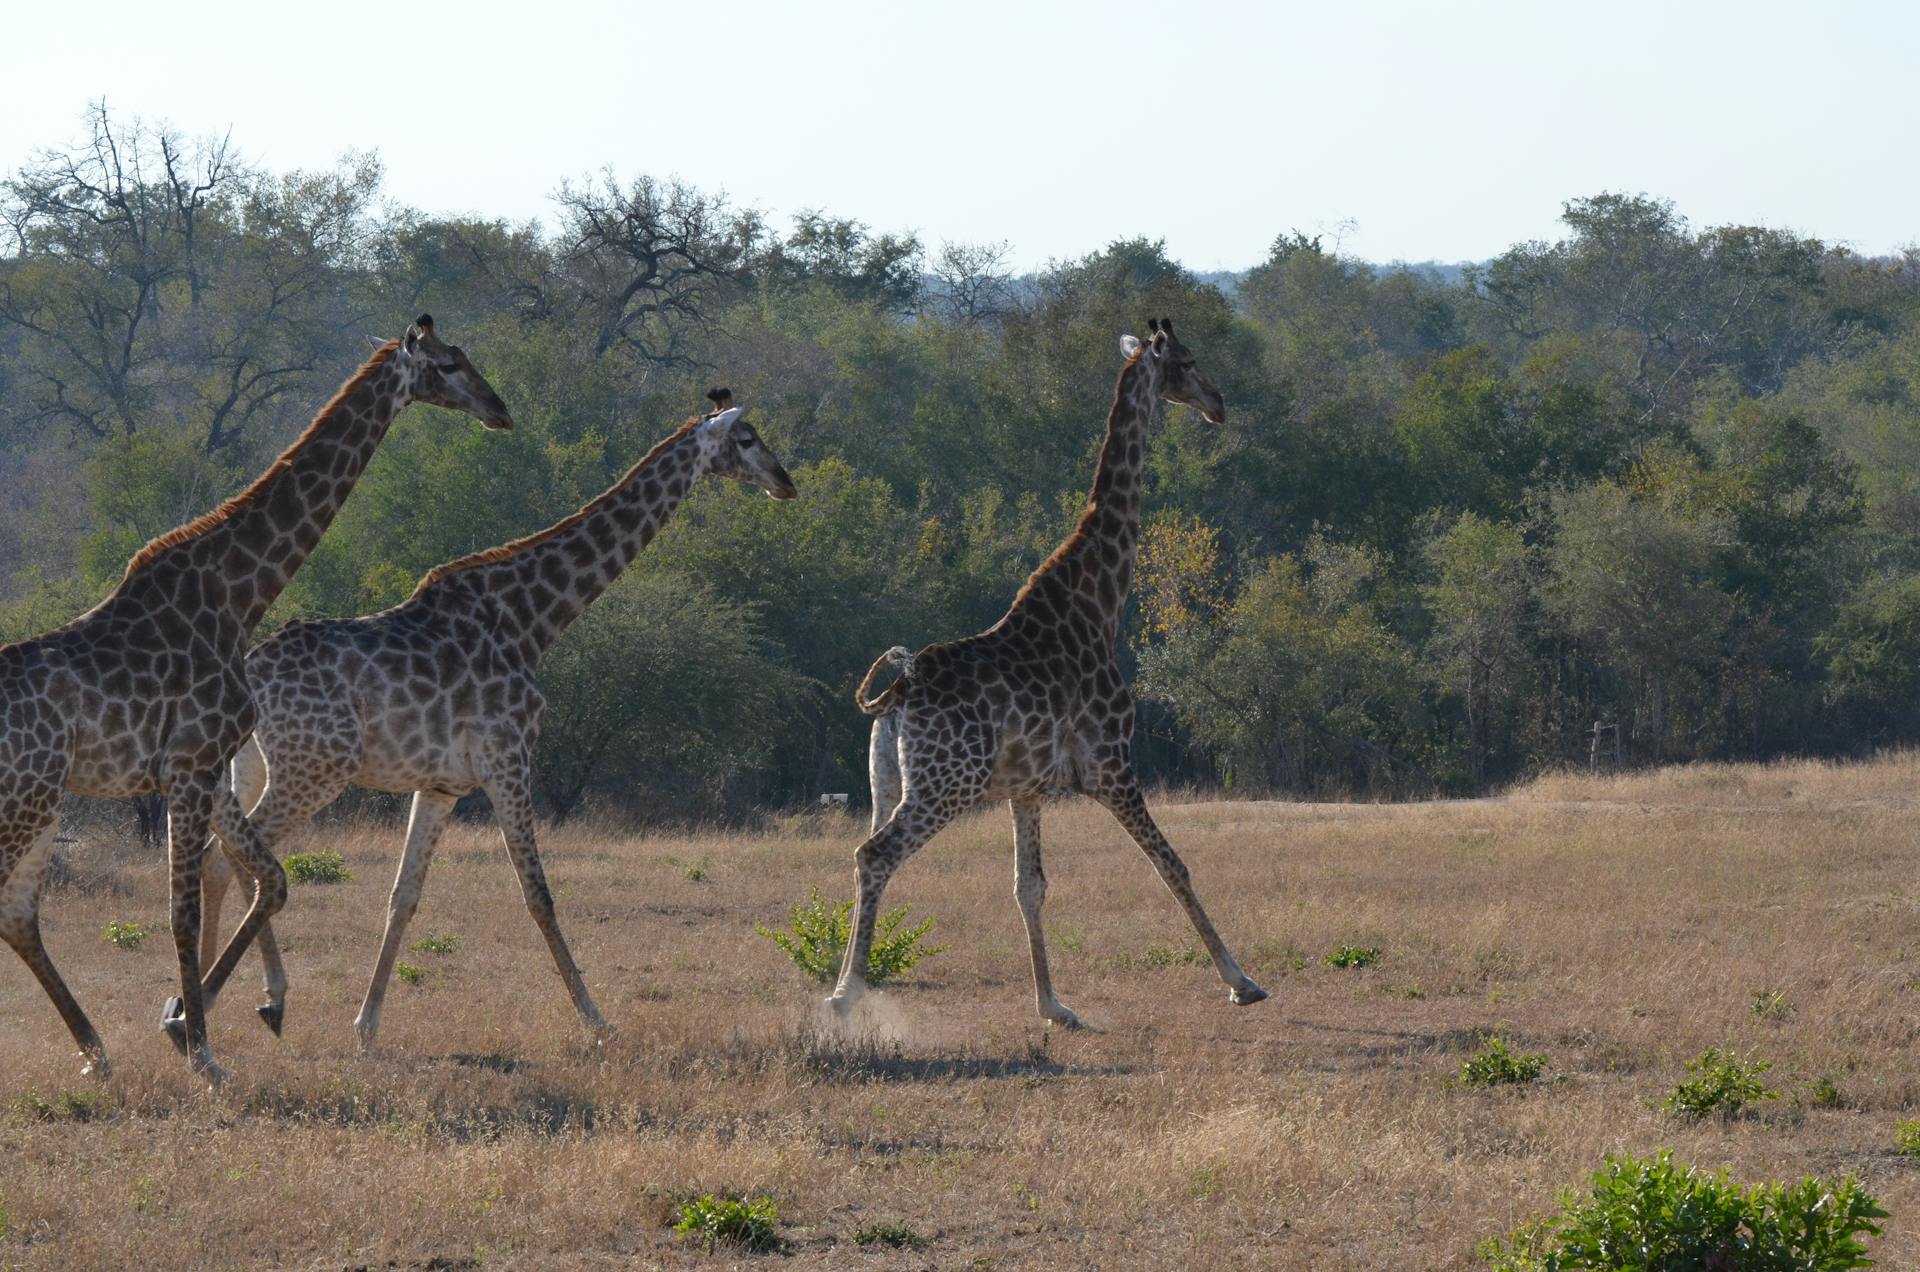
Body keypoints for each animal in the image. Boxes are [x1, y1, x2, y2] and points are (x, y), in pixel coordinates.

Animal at [0, 313, 514, 1083]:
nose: (500, 410)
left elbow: (270, 880)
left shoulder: (203, 770)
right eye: (449, 364)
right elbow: (183, 912)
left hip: (43, 799)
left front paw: (209, 1022)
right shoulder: (189, 767)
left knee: (18, 912)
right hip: (27, 799)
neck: (237, 597)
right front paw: (203, 1055)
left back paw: (96, 1054)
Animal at [194, 393, 794, 1052]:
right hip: (315, 769)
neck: (533, 618)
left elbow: (403, 897)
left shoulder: (441, 785)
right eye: (747, 439)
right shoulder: (509, 757)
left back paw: (216, 1000)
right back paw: (225, 1000)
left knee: (220, 859)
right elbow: (538, 894)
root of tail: (249, 672)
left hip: (254, 764)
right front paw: (595, 1018)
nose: (785, 482)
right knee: (235, 858)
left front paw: (367, 1027)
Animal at [833, 318, 1267, 1029]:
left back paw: (846, 981)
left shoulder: (1027, 789)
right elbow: (1172, 864)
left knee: (865, 854)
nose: (1219, 403)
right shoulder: (1112, 765)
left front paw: (1053, 1005)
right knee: (875, 856)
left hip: (886, 783)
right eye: (1188, 361)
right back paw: (844, 995)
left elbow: (1028, 886)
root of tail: (900, 689)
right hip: (944, 786)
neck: (1099, 604)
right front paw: (1241, 980)